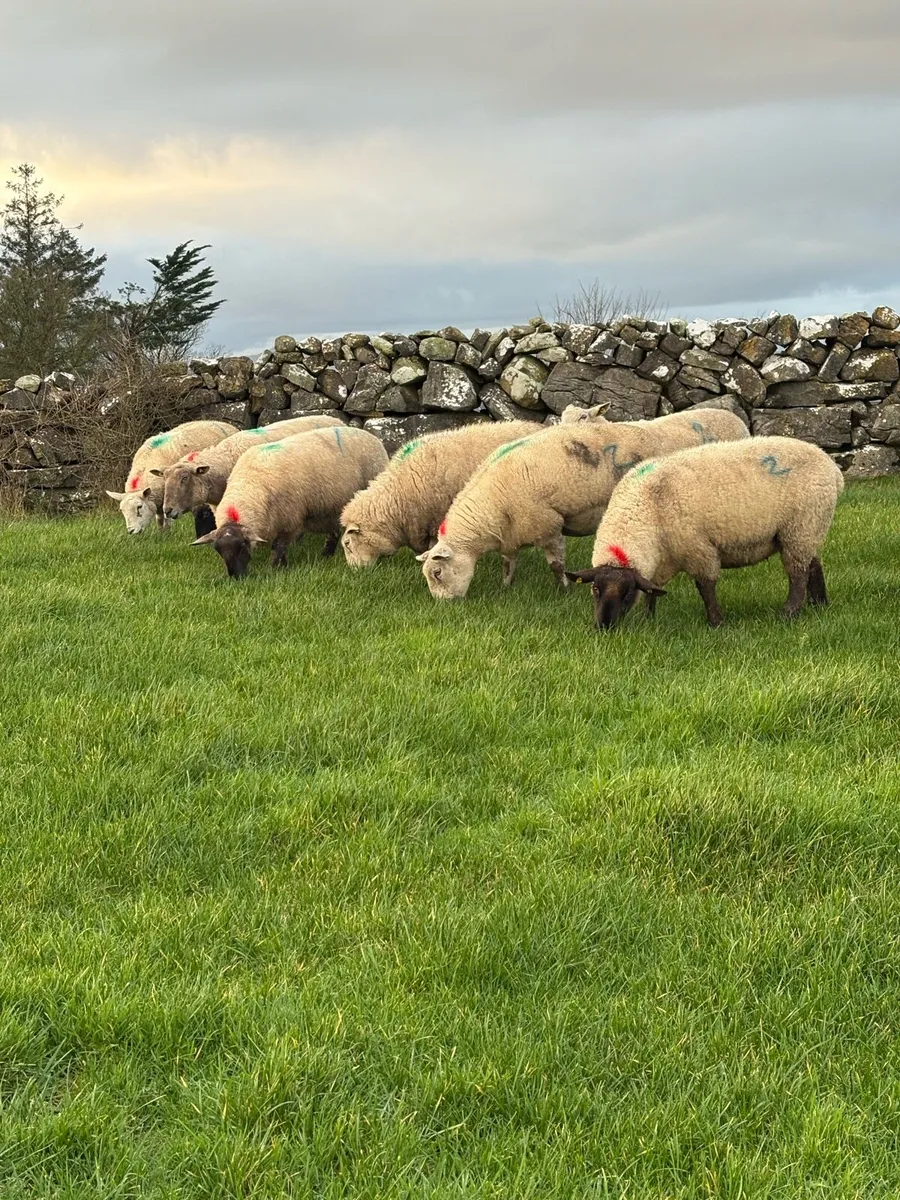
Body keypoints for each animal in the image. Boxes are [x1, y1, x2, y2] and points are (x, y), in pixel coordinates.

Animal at [106, 419, 238, 535]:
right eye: (122, 510)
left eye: (139, 507)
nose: (131, 531)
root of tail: (225, 423)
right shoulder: (159, 500)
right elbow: (159, 519)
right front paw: (161, 533)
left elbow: (167, 518)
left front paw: (167, 534)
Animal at [192, 425, 389, 578]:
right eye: (218, 550)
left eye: (241, 546)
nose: (236, 577)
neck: (249, 487)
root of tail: (371, 435)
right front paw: (282, 565)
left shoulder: (291, 521)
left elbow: (278, 546)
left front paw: (274, 567)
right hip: (331, 505)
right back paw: (327, 554)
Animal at [418, 410, 748, 601]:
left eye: (437, 573)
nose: (443, 605)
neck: (492, 505)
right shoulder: (512, 533)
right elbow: (508, 563)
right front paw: (506, 587)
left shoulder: (548, 525)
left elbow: (556, 564)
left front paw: (565, 588)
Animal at [564, 436, 844, 629]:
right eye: (595, 589)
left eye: (627, 593)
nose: (604, 627)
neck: (646, 508)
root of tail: (831, 466)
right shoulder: (661, 560)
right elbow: (653, 590)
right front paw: (647, 619)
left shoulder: (698, 549)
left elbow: (705, 586)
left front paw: (716, 623)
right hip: (808, 530)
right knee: (813, 565)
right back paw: (819, 604)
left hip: (800, 527)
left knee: (797, 574)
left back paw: (790, 613)